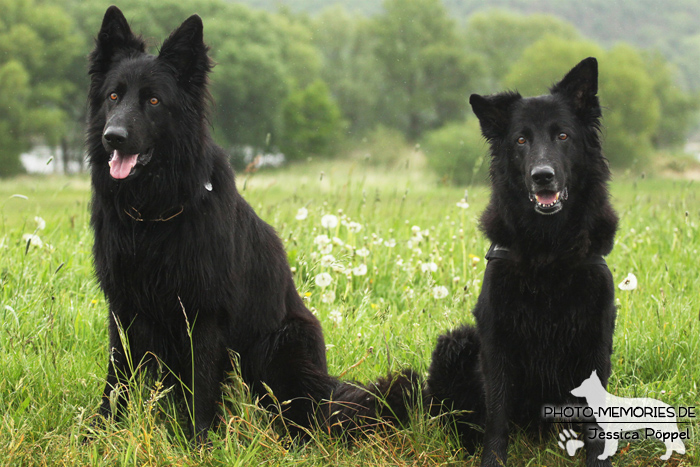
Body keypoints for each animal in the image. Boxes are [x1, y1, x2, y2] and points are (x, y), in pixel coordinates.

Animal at [87, 5, 416, 440]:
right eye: (113, 95)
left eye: (154, 100)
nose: (113, 137)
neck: (153, 216)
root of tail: (326, 389)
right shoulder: (123, 309)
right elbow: (116, 380)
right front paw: (100, 433)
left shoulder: (204, 315)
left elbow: (202, 383)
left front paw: (198, 441)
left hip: (282, 343)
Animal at [426, 59, 616, 467]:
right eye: (520, 140)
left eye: (563, 136)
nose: (542, 176)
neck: (549, 249)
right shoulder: (497, 337)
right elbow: (497, 414)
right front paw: (493, 460)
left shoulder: (595, 337)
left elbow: (597, 421)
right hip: (456, 342)